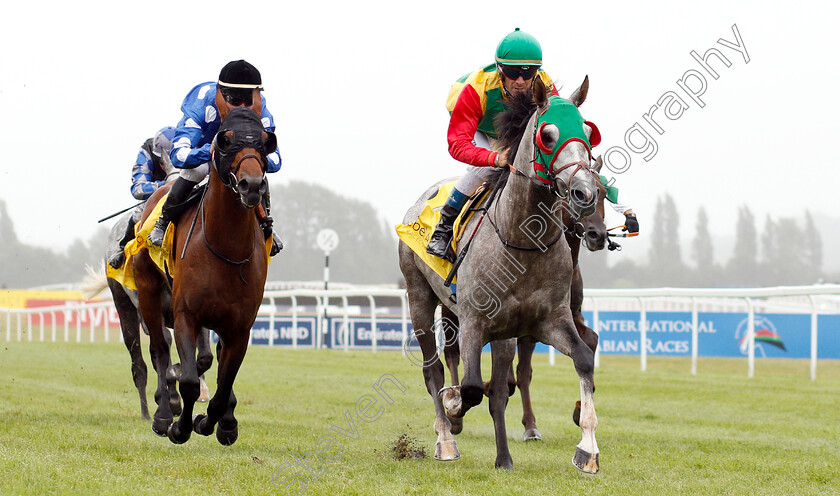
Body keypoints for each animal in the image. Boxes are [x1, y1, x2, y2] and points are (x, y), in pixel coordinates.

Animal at [133, 104, 274, 446]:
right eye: (226, 142)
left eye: (265, 144)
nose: (252, 185)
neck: (226, 250)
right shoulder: (186, 314)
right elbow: (187, 380)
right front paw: (181, 426)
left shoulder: (239, 327)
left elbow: (222, 386)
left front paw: (218, 423)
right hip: (147, 290)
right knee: (159, 350)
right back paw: (162, 415)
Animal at [400, 75, 604, 470]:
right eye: (547, 134)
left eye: (587, 131)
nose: (584, 193)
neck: (523, 240)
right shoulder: (474, 320)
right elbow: (470, 387)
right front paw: (453, 406)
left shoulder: (546, 320)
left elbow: (582, 359)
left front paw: (587, 448)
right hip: (419, 296)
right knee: (434, 370)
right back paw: (446, 438)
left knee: (496, 387)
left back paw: (503, 456)